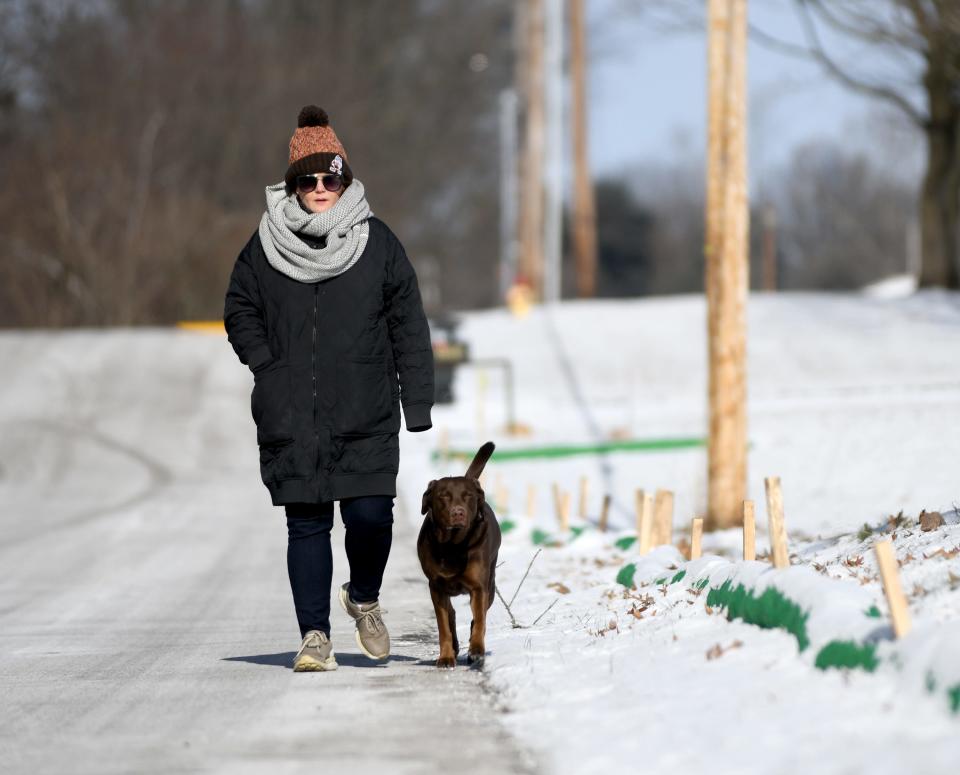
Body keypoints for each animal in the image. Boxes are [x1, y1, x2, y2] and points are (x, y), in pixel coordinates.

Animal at [416, 440, 498, 668]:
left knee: (479, 615)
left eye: (468, 496)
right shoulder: (436, 588)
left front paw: (476, 650)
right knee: (451, 613)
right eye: (443, 495)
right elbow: (443, 626)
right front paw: (445, 657)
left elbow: (479, 620)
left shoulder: (479, 587)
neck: (453, 545)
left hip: (490, 585)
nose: (458, 512)